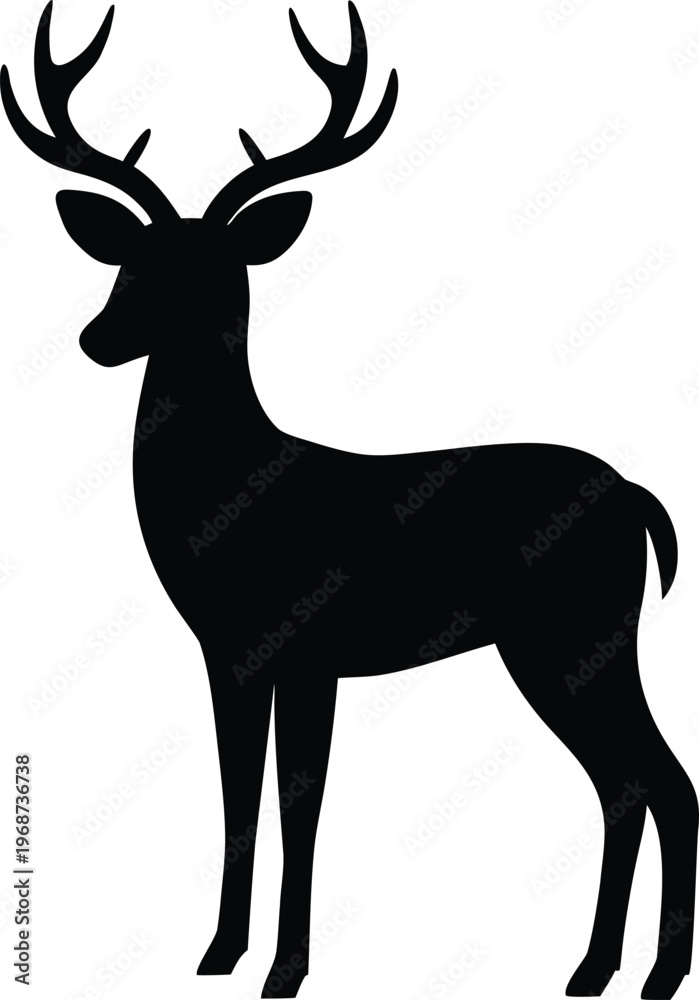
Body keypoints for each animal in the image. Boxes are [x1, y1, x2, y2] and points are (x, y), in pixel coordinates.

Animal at [2, 3, 697, 998]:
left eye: (211, 271)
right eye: (128, 262)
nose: (97, 338)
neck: (232, 499)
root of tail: (639, 500)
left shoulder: (309, 649)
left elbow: (302, 808)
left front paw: (285, 971)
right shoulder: (231, 654)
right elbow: (238, 797)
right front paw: (218, 955)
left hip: (576, 635)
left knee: (656, 779)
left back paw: (642, 974)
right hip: (566, 646)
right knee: (627, 783)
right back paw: (597, 970)